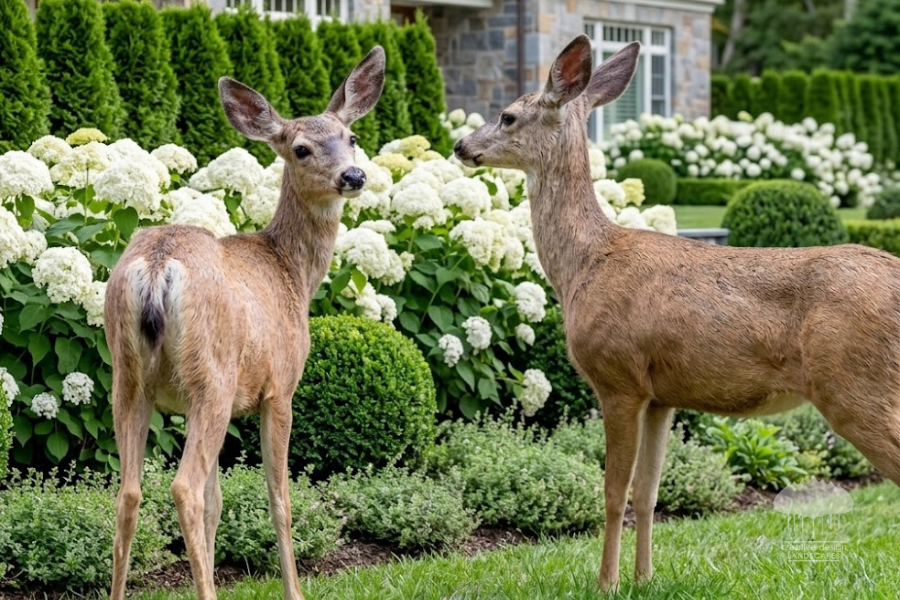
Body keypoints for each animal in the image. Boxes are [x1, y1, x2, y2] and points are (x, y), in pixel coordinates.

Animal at [103, 47, 385, 600]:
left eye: (351, 137)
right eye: (301, 148)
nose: (353, 176)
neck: (291, 271)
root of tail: (157, 266)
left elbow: (218, 503)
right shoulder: (279, 388)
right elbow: (279, 499)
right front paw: (294, 590)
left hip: (129, 379)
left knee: (129, 492)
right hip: (210, 377)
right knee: (182, 488)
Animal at [455, 35, 900, 591]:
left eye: (508, 115)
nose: (460, 146)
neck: (586, 263)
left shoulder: (619, 378)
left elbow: (613, 492)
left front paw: (606, 584)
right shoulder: (662, 396)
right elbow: (648, 492)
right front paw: (644, 578)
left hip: (856, 387)